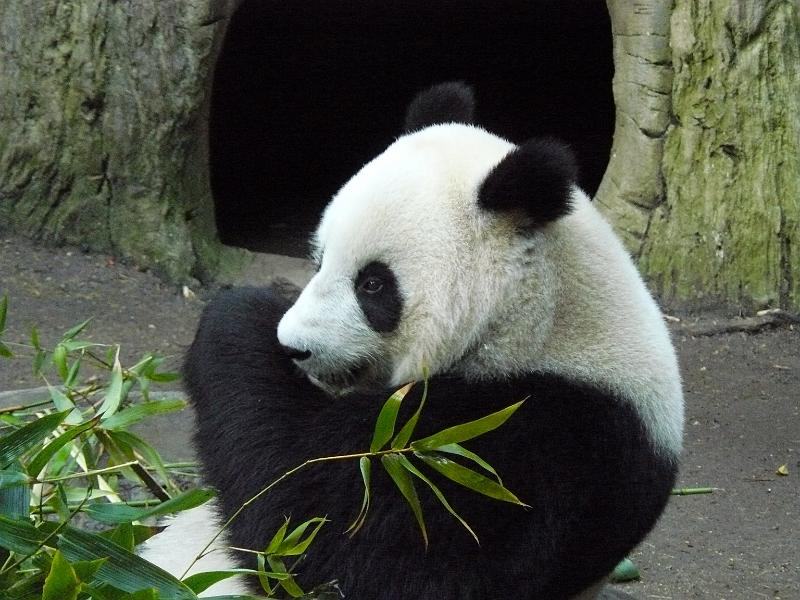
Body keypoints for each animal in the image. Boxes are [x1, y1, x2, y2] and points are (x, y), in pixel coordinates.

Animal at [140, 82, 683, 599]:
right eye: (319, 259)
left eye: (373, 284)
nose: (295, 348)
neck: (543, 323)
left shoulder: (537, 446)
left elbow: (328, 533)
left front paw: (236, 318)